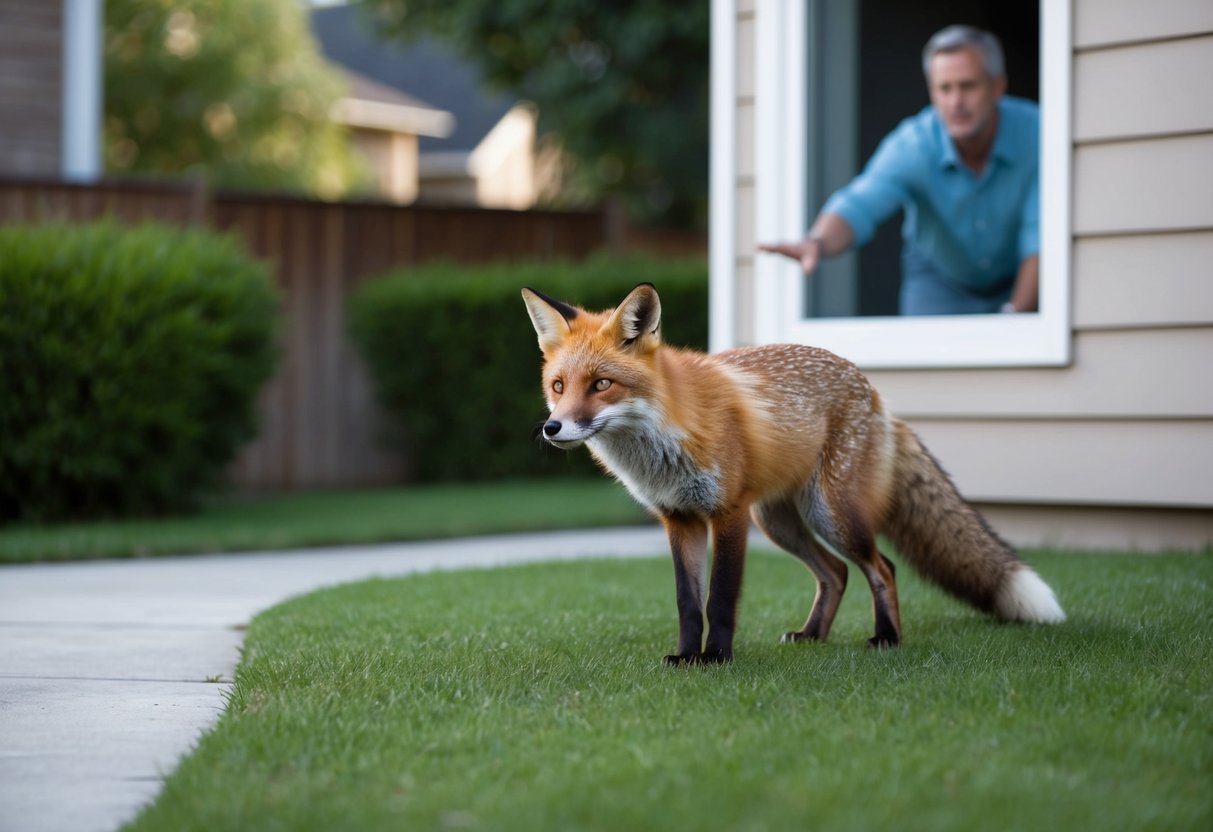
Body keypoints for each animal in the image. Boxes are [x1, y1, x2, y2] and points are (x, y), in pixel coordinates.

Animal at [522, 283, 1065, 665]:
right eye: (558, 385)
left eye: (601, 384)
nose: (552, 427)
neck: (664, 439)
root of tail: (877, 395)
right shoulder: (679, 518)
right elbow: (687, 601)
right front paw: (686, 655)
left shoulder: (729, 513)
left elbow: (720, 597)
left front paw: (716, 659)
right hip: (780, 522)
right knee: (836, 573)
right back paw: (811, 636)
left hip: (831, 514)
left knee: (882, 567)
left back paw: (887, 638)